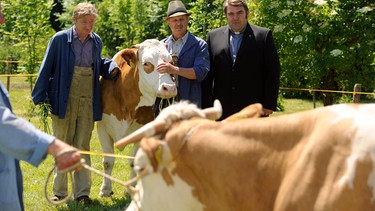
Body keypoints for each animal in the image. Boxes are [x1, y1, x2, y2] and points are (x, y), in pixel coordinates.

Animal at [97, 39, 178, 198]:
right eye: (146, 63)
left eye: (171, 62)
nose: (170, 88)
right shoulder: (102, 127)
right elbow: (108, 161)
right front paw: (105, 190)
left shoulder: (144, 131)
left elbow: (134, 161)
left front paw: (132, 189)